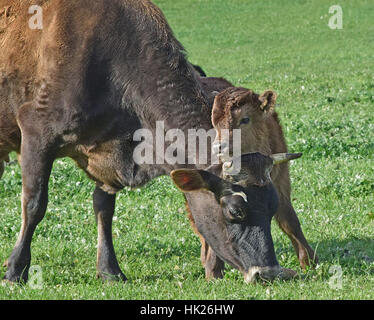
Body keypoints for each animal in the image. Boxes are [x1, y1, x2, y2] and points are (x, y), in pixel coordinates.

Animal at [212, 86, 318, 268]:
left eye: (245, 119)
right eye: (214, 123)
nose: (218, 147)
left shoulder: (281, 181)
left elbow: (289, 220)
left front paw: (309, 260)